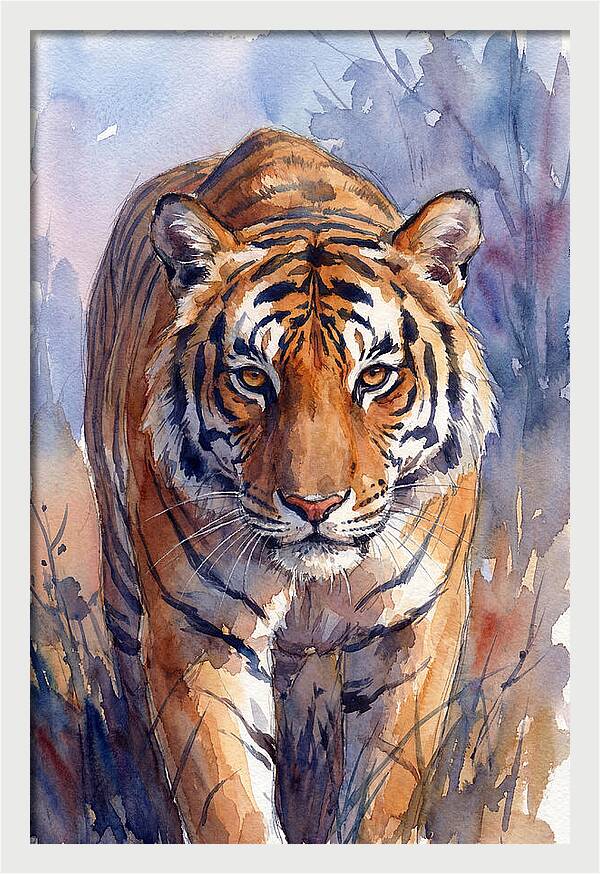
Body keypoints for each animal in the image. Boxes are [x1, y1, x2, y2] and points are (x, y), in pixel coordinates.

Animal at [85, 128, 495, 844]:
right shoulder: (199, 631)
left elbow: (384, 792)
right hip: (120, 572)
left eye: (375, 376)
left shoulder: (418, 627)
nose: (313, 505)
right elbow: (229, 806)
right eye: (253, 378)